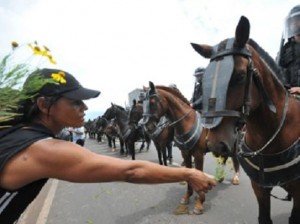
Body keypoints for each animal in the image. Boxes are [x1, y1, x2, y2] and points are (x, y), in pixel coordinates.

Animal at [142, 82, 240, 215]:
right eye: (143, 102)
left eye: (152, 102)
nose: (147, 126)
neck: (186, 123)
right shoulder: (185, 153)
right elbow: (189, 173)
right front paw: (188, 196)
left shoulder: (198, 154)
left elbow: (198, 172)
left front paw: (200, 202)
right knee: (224, 158)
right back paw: (220, 177)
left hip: (233, 146)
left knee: (235, 159)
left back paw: (235, 178)